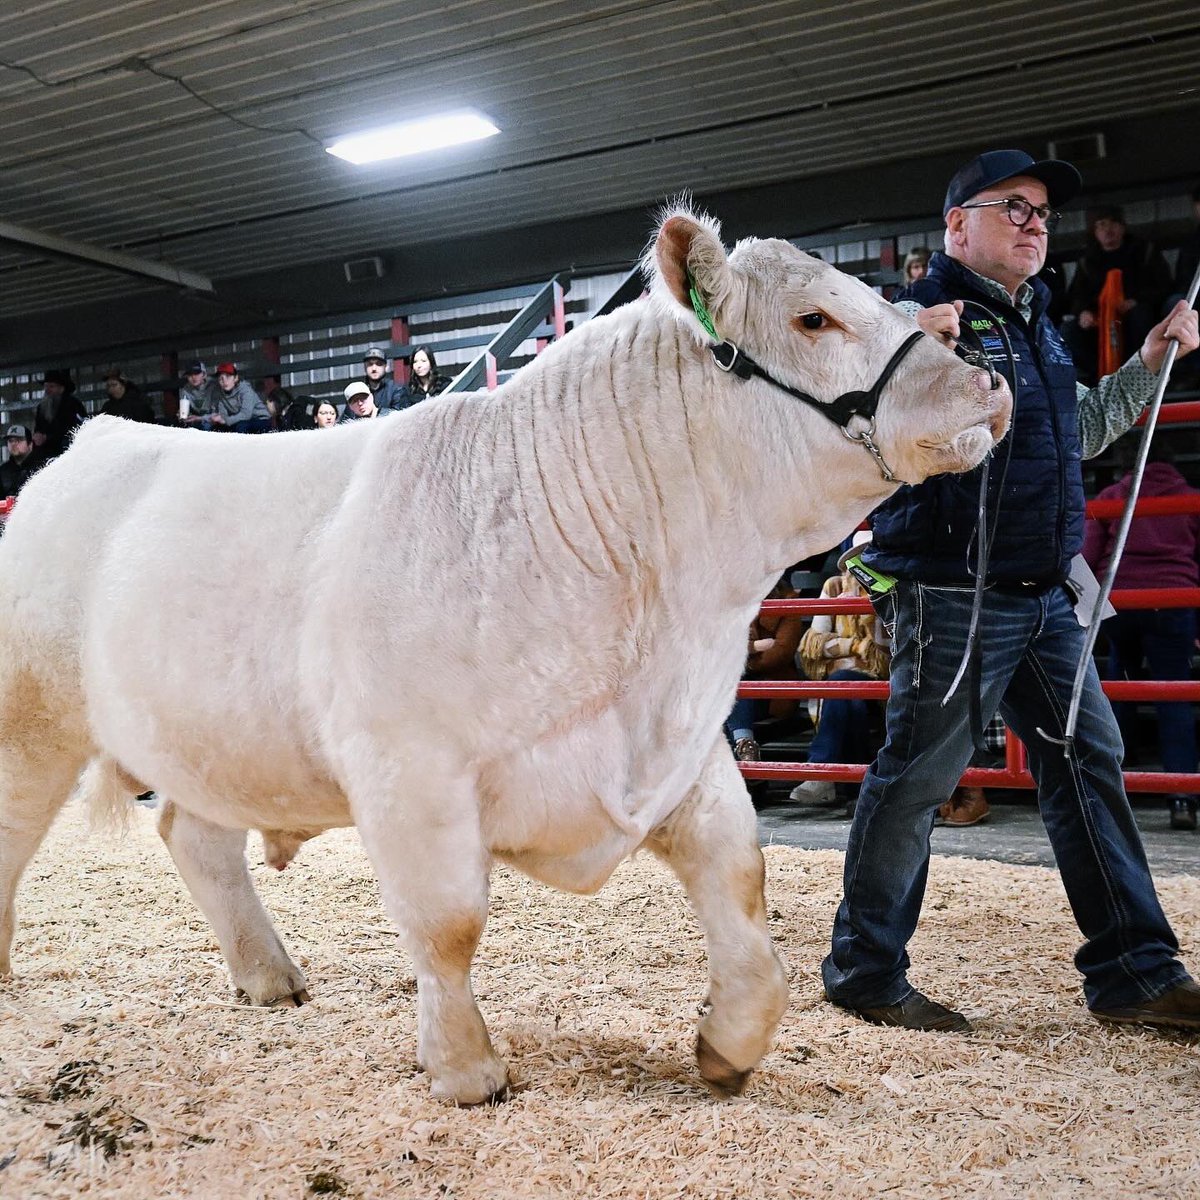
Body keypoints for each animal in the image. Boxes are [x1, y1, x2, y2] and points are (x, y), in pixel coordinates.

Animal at [0, 208, 1008, 1104]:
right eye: (814, 319)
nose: (989, 383)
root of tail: (96, 437)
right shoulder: (410, 770)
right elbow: (448, 924)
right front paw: (465, 1071)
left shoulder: (681, 747)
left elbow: (740, 877)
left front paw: (729, 1043)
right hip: (32, 717)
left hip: (216, 738)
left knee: (195, 834)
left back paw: (270, 977)